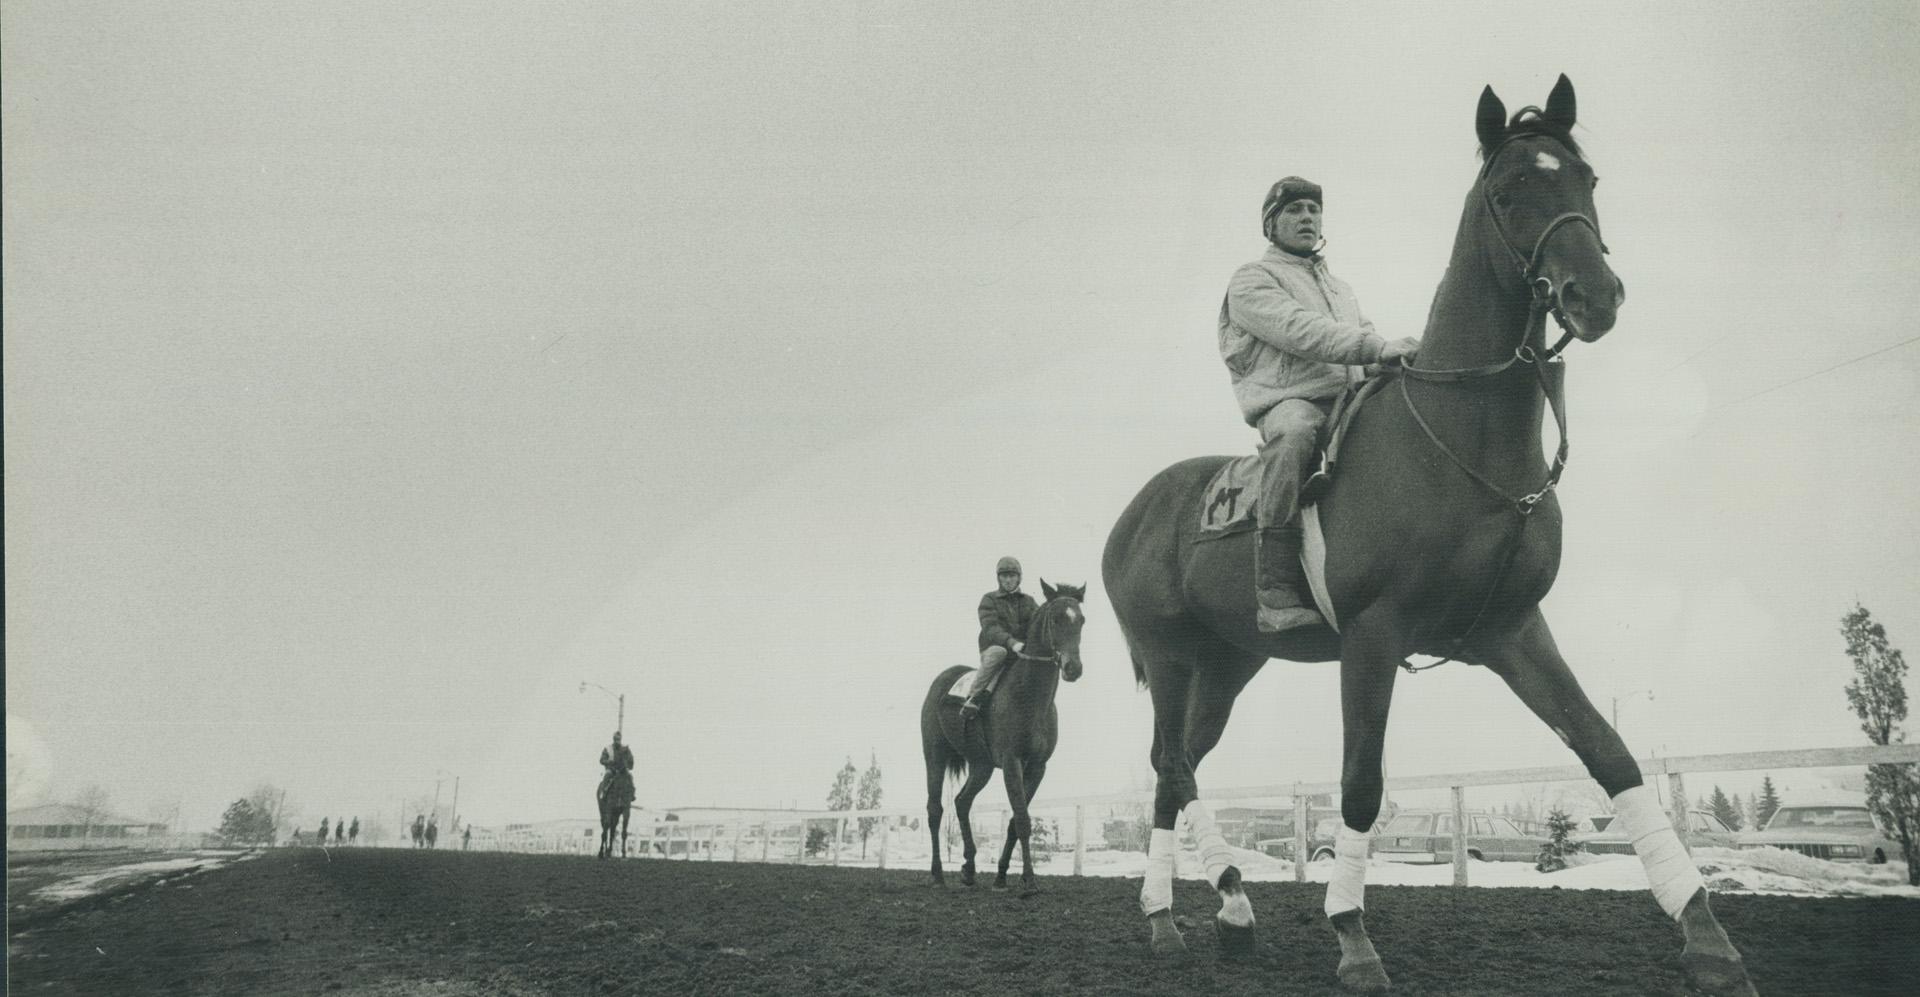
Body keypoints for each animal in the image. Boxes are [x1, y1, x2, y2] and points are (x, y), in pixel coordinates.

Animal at [921, 580, 1090, 895]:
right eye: (1056, 619)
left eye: (1081, 619)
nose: (1073, 668)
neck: (1029, 696)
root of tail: (941, 681)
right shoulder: (1012, 762)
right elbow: (1022, 819)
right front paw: (1030, 881)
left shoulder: (1037, 767)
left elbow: (1014, 821)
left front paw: (1001, 876)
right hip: (934, 757)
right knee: (935, 809)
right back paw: (937, 874)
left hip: (982, 766)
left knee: (962, 802)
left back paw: (969, 869)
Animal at [1105, 73, 1751, 991]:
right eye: (1509, 191)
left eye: (1587, 179)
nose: (1595, 296)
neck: (1460, 440)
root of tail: (1135, 512)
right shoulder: (1374, 635)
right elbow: (1360, 783)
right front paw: (1351, 935)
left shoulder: (1514, 630)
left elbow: (1610, 753)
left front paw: (1705, 932)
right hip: (1169, 655)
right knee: (1172, 765)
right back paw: (1194, 907)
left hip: (1227, 665)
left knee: (1175, 772)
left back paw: (1206, 912)